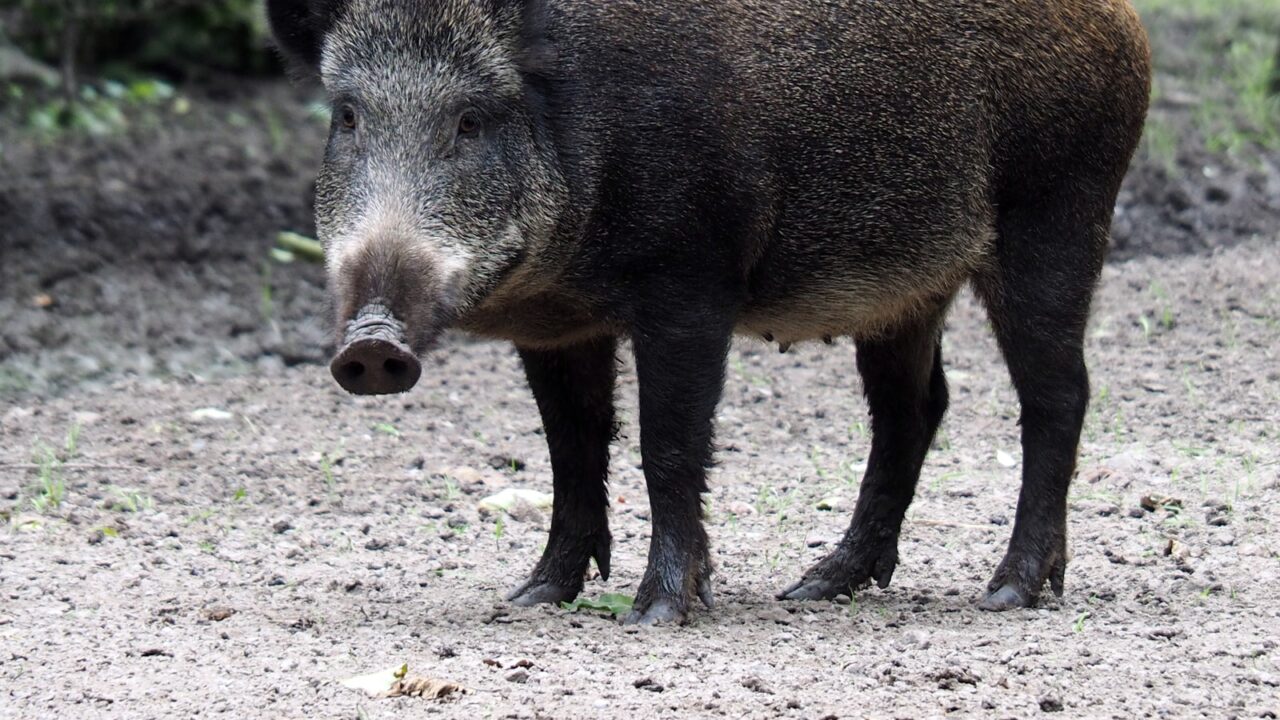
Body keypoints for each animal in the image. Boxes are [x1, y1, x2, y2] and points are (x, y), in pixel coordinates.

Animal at [267, 0, 1151, 625]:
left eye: (470, 119)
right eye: (348, 116)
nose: (371, 345)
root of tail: (1123, 23)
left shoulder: (691, 285)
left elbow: (668, 444)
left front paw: (659, 611)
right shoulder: (555, 327)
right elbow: (570, 449)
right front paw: (534, 596)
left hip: (1059, 215)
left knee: (1058, 395)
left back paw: (1008, 593)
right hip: (907, 288)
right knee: (916, 408)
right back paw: (817, 586)